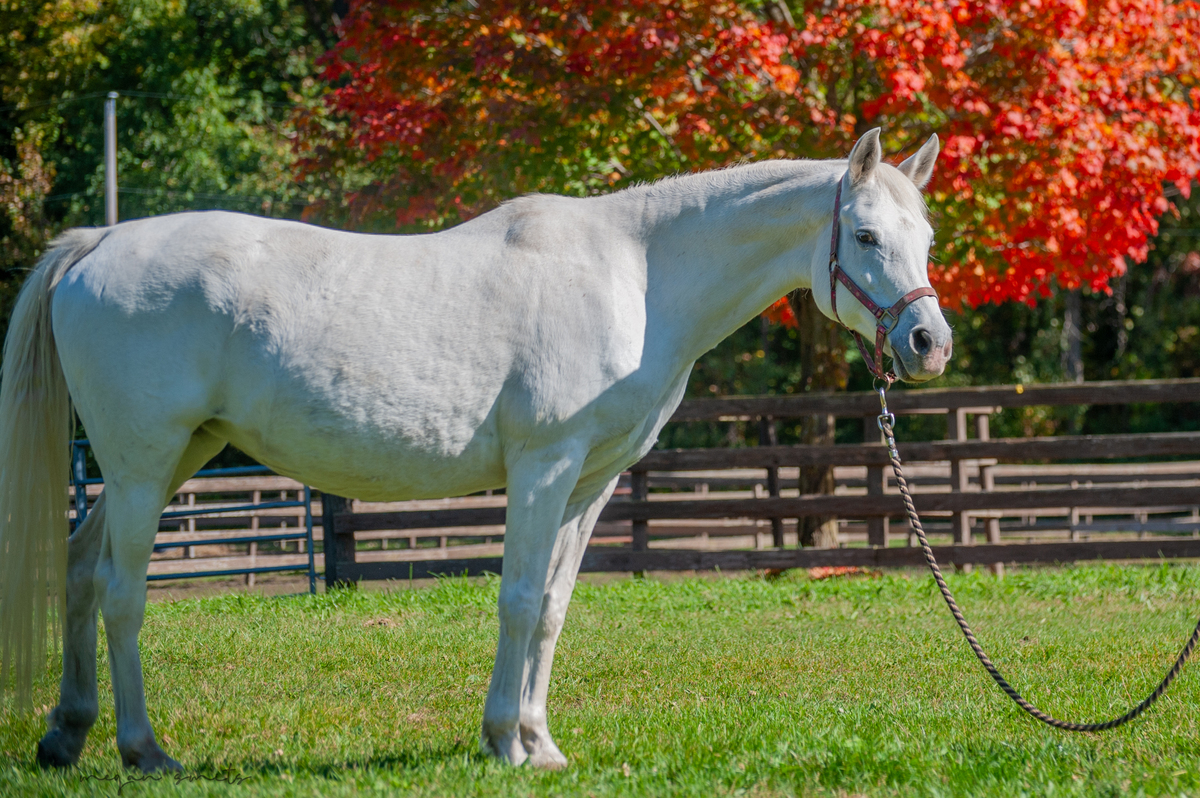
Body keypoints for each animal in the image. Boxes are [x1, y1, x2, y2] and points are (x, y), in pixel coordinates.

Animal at [0, 128, 951, 772]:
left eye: (928, 240)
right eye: (867, 237)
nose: (929, 344)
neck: (637, 276)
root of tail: (95, 246)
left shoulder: (589, 484)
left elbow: (555, 608)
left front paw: (541, 740)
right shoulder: (543, 469)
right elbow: (520, 602)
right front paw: (504, 740)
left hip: (171, 461)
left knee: (80, 571)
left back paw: (66, 735)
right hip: (141, 466)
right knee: (120, 593)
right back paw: (143, 748)